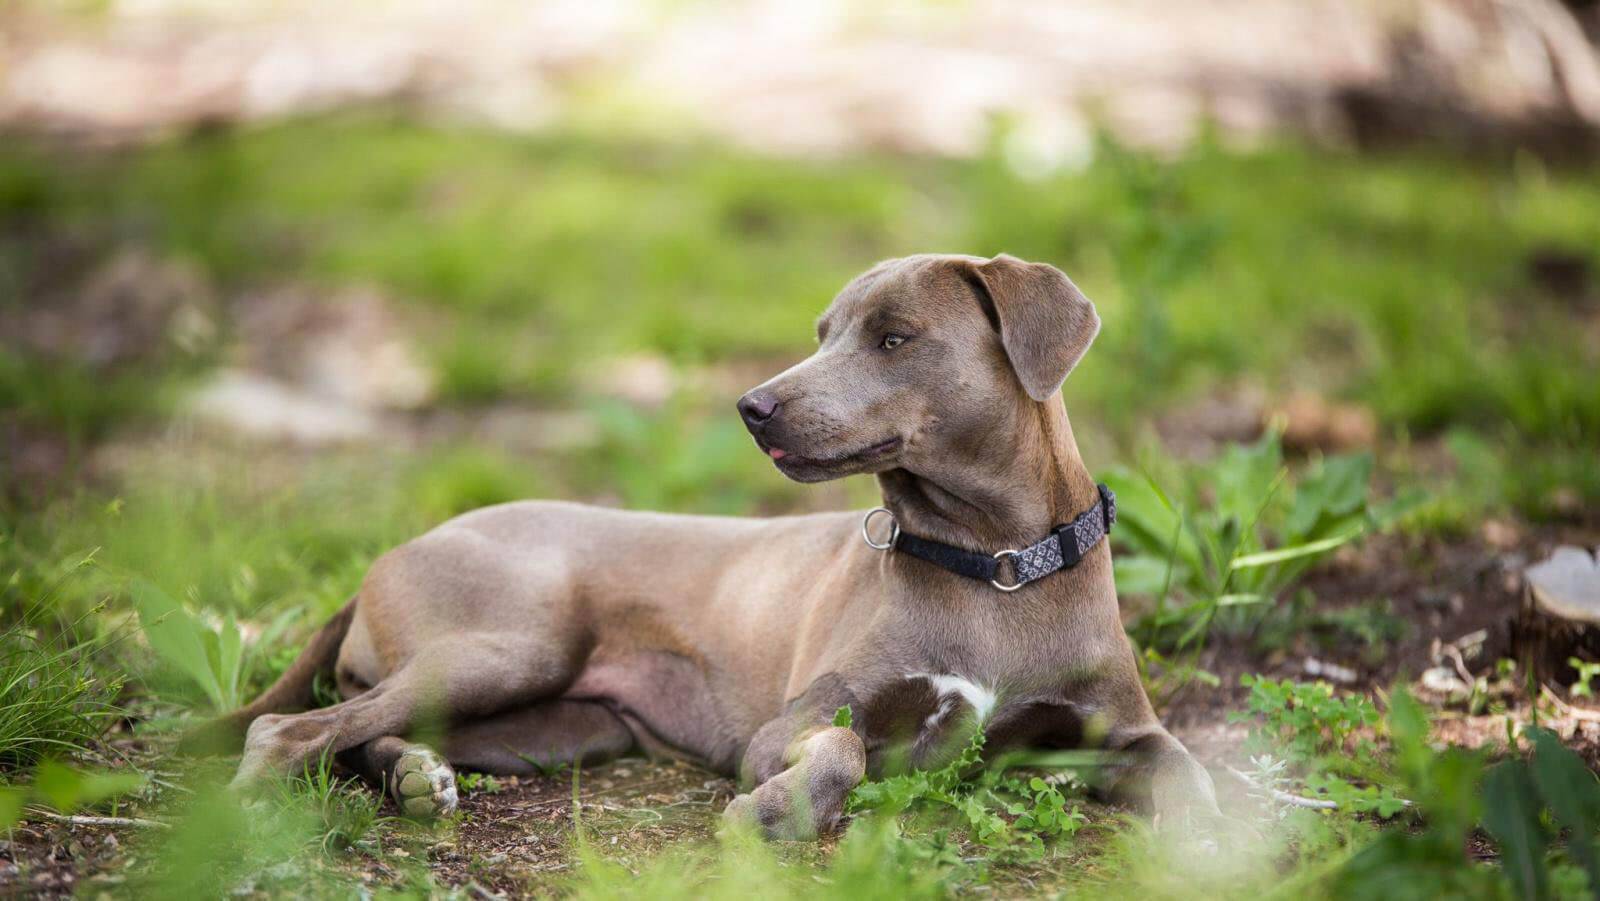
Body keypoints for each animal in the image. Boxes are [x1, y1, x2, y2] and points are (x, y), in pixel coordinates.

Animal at [212, 252, 1209, 838]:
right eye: (822, 334)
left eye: (895, 338)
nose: (752, 406)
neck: (993, 567)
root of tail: (402, 545)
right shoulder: (785, 726)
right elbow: (841, 749)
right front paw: (773, 812)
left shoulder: (1127, 732)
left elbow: (1194, 776)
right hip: (509, 645)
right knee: (293, 728)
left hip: (556, 724)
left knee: (369, 731)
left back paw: (419, 776)